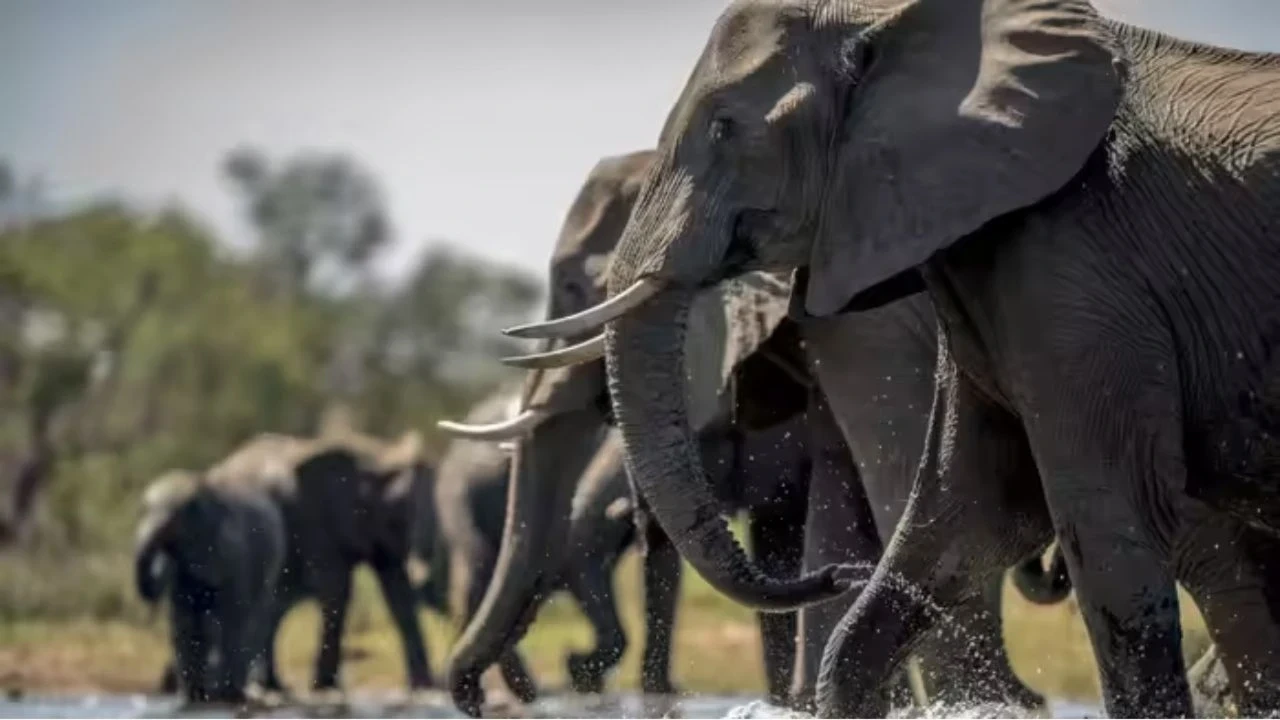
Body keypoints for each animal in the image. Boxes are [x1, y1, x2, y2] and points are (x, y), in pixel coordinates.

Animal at [134, 469, 286, 703]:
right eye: (143, 509)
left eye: (173, 522)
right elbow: (184, 621)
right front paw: (192, 697)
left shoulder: (235, 554)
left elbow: (232, 616)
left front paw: (221, 695)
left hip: (272, 563)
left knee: (254, 618)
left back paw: (235, 692)